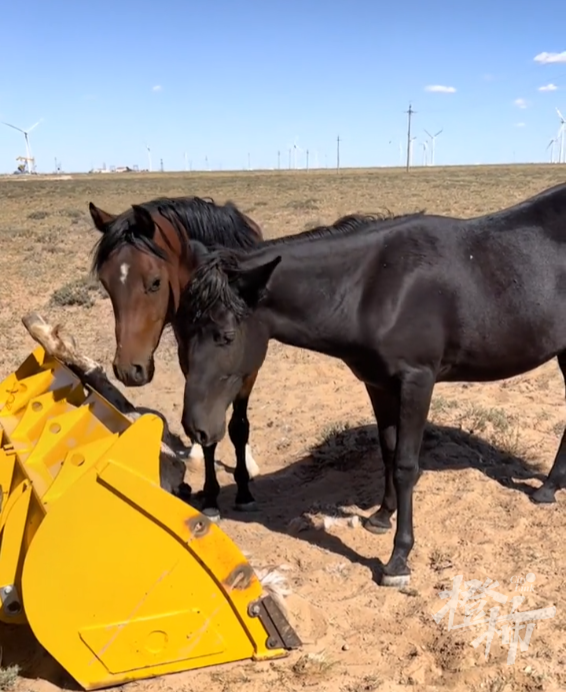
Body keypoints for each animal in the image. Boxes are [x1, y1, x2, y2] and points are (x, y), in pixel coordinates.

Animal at [87, 195, 266, 520]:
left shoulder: (248, 370)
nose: (128, 370)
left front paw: (244, 490)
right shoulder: (191, 363)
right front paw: (210, 497)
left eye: (155, 282)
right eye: (106, 284)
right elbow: (204, 428)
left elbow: (239, 426)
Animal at [178, 181, 566, 588]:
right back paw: (548, 488)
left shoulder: (417, 381)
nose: (196, 428)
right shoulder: (378, 383)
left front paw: (398, 559)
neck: (375, 286)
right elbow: (388, 449)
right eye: (183, 330)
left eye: (225, 335)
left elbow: (406, 464)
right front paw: (382, 516)